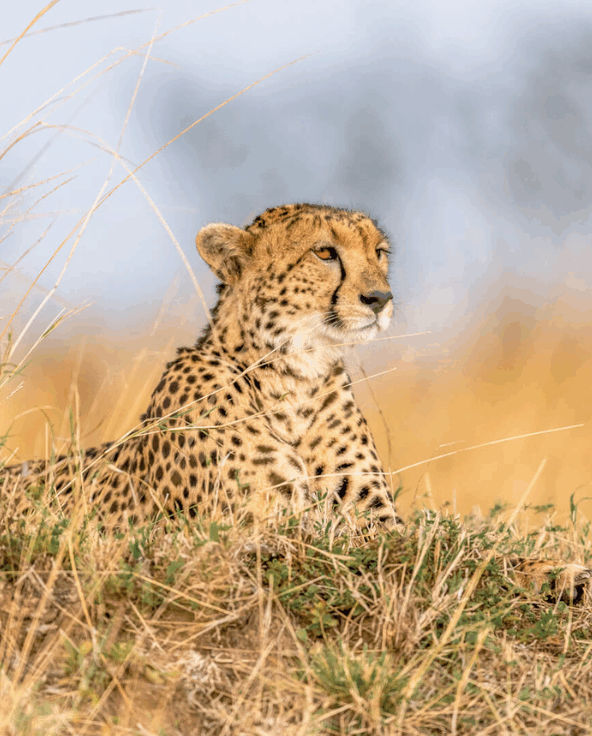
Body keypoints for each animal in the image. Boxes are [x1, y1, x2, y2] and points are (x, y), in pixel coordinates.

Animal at [1, 203, 589, 601]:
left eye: (380, 253)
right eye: (325, 253)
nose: (380, 298)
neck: (295, 378)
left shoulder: (370, 518)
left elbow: (456, 546)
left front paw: (561, 572)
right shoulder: (269, 528)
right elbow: (437, 554)